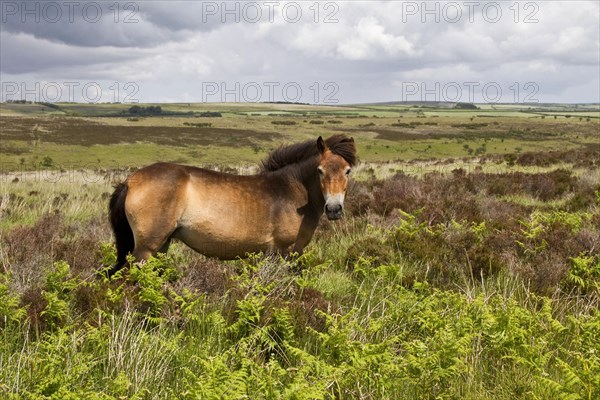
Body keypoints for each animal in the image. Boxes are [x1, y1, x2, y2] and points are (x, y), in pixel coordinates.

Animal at [108, 134, 356, 276]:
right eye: (320, 171)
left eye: (347, 171)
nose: (334, 209)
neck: (291, 190)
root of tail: (130, 181)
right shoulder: (287, 251)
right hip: (145, 251)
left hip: (161, 246)